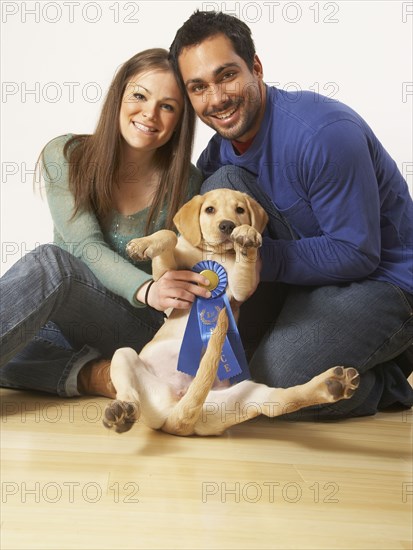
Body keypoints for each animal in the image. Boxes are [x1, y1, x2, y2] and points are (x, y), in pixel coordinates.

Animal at [103, 192, 358, 438]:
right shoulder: (169, 278)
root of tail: (174, 412)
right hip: (124, 356)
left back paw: (333, 385)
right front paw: (141, 245)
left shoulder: (239, 289)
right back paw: (121, 411)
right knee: (129, 393)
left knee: (278, 404)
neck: (215, 254)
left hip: (244, 393)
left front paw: (246, 236)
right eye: (209, 209)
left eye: (240, 209)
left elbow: (246, 264)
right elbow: (169, 236)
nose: (227, 225)